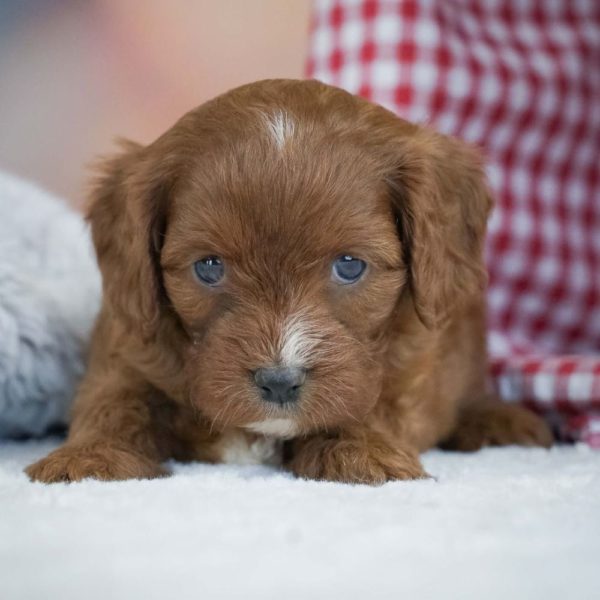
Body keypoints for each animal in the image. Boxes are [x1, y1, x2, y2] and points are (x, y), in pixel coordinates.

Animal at [27, 78, 552, 482]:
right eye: (209, 266)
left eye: (349, 265)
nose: (279, 382)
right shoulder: (127, 342)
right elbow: (114, 399)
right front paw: (90, 458)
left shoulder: (413, 364)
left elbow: (372, 401)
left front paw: (361, 452)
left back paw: (500, 422)